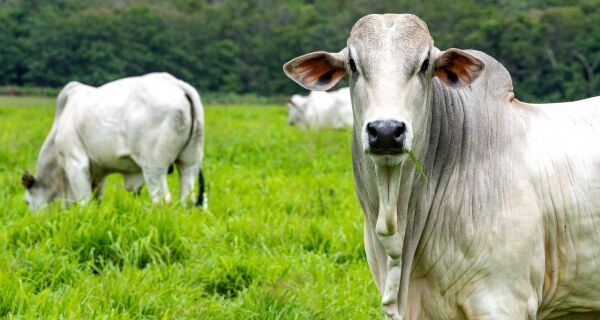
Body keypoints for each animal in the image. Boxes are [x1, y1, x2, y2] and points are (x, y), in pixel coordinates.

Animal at [21, 73, 206, 211]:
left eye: (27, 202)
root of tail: (177, 84)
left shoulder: (76, 163)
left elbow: (85, 202)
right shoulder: (98, 171)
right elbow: (97, 200)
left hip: (154, 168)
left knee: (161, 200)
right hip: (189, 163)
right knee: (187, 199)